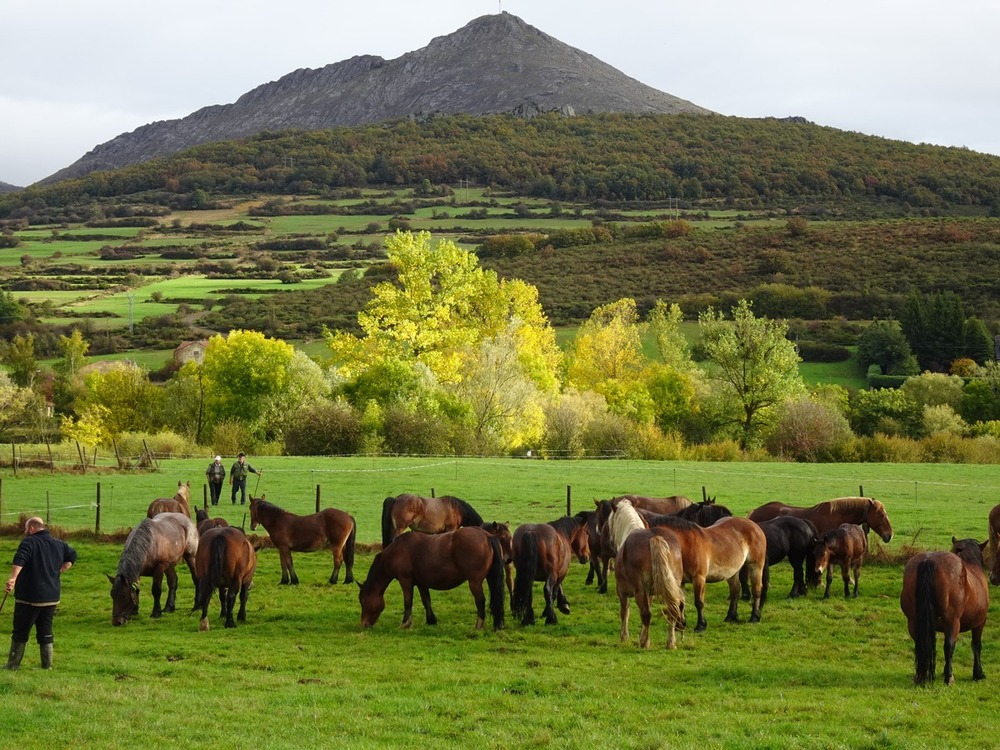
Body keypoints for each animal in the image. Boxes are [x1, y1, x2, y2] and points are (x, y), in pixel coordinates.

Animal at [356, 524, 504, 632]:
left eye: (363, 601)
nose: (363, 624)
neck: (397, 551)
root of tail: (487, 536)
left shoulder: (406, 581)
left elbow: (408, 602)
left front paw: (405, 623)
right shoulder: (421, 583)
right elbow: (426, 601)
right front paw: (431, 620)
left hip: (474, 582)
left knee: (480, 601)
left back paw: (478, 626)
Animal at [904, 536, 988, 684]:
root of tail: (929, 560)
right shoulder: (980, 622)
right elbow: (976, 645)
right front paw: (978, 673)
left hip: (913, 621)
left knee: (920, 643)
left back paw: (920, 676)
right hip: (952, 621)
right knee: (949, 646)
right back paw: (949, 677)